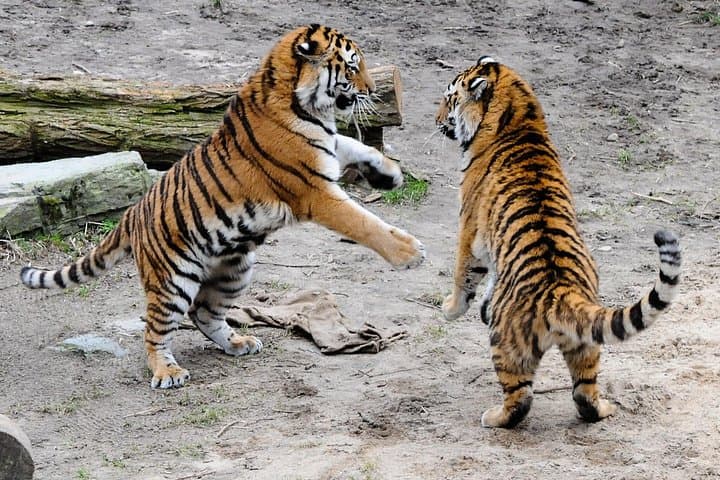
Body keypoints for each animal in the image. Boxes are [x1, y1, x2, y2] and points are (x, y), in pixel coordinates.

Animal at [20, 24, 425, 389]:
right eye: (352, 67)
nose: (372, 91)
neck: (307, 106)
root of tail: (132, 213)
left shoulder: (326, 151)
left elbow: (358, 146)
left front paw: (389, 173)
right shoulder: (315, 191)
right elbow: (363, 222)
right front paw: (410, 252)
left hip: (235, 269)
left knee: (203, 313)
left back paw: (239, 343)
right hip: (173, 280)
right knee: (155, 330)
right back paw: (168, 373)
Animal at [436, 56, 682, 428]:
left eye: (449, 99)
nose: (436, 121)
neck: (519, 115)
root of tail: (561, 291)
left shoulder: (469, 227)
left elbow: (463, 272)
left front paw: (451, 308)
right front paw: (483, 305)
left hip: (508, 345)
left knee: (520, 398)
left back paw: (494, 417)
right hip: (586, 346)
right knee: (584, 391)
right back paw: (603, 409)